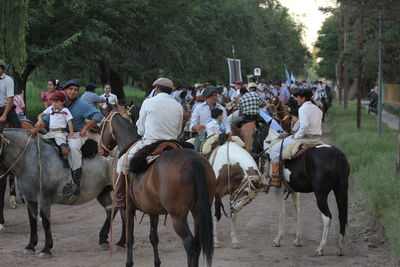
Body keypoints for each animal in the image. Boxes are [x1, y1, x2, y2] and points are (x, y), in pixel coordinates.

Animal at [0, 129, 125, 258]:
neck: (31, 159)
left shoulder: (44, 199)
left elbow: (45, 222)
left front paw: (46, 248)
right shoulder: (29, 199)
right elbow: (32, 221)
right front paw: (30, 246)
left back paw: (120, 243)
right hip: (103, 192)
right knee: (111, 210)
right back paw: (103, 239)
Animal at [99, 112, 216, 267]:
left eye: (101, 125)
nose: (100, 150)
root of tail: (194, 162)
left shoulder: (128, 209)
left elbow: (130, 238)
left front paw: (128, 261)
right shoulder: (152, 210)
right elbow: (153, 237)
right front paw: (157, 262)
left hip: (178, 217)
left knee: (190, 243)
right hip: (198, 210)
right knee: (197, 243)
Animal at [231, 125, 350, 258]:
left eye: (254, 136)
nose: (252, 153)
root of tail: (338, 156)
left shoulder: (278, 189)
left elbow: (281, 213)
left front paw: (277, 240)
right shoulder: (294, 191)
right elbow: (297, 213)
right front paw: (298, 240)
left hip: (321, 195)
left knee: (327, 217)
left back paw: (320, 248)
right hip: (341, 190)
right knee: (342, 216)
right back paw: (340, 247)